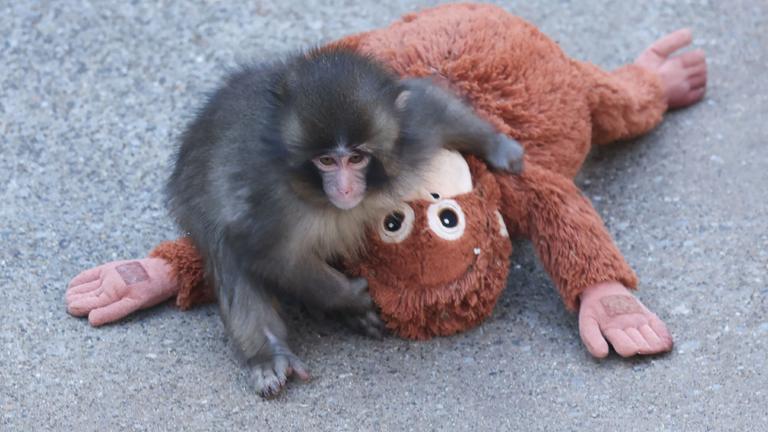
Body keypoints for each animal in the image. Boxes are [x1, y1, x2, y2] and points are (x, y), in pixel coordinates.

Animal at [166, 47, 523, 397]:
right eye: (326, 161)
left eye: (356, 158)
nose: (345, 188)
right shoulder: (268, 200)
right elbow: (270, 255)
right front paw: (349, 296)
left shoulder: (411, 134)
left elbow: (432, 105)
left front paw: (499, 147)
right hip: (193, 201)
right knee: (226, 253)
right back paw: (268, 353)